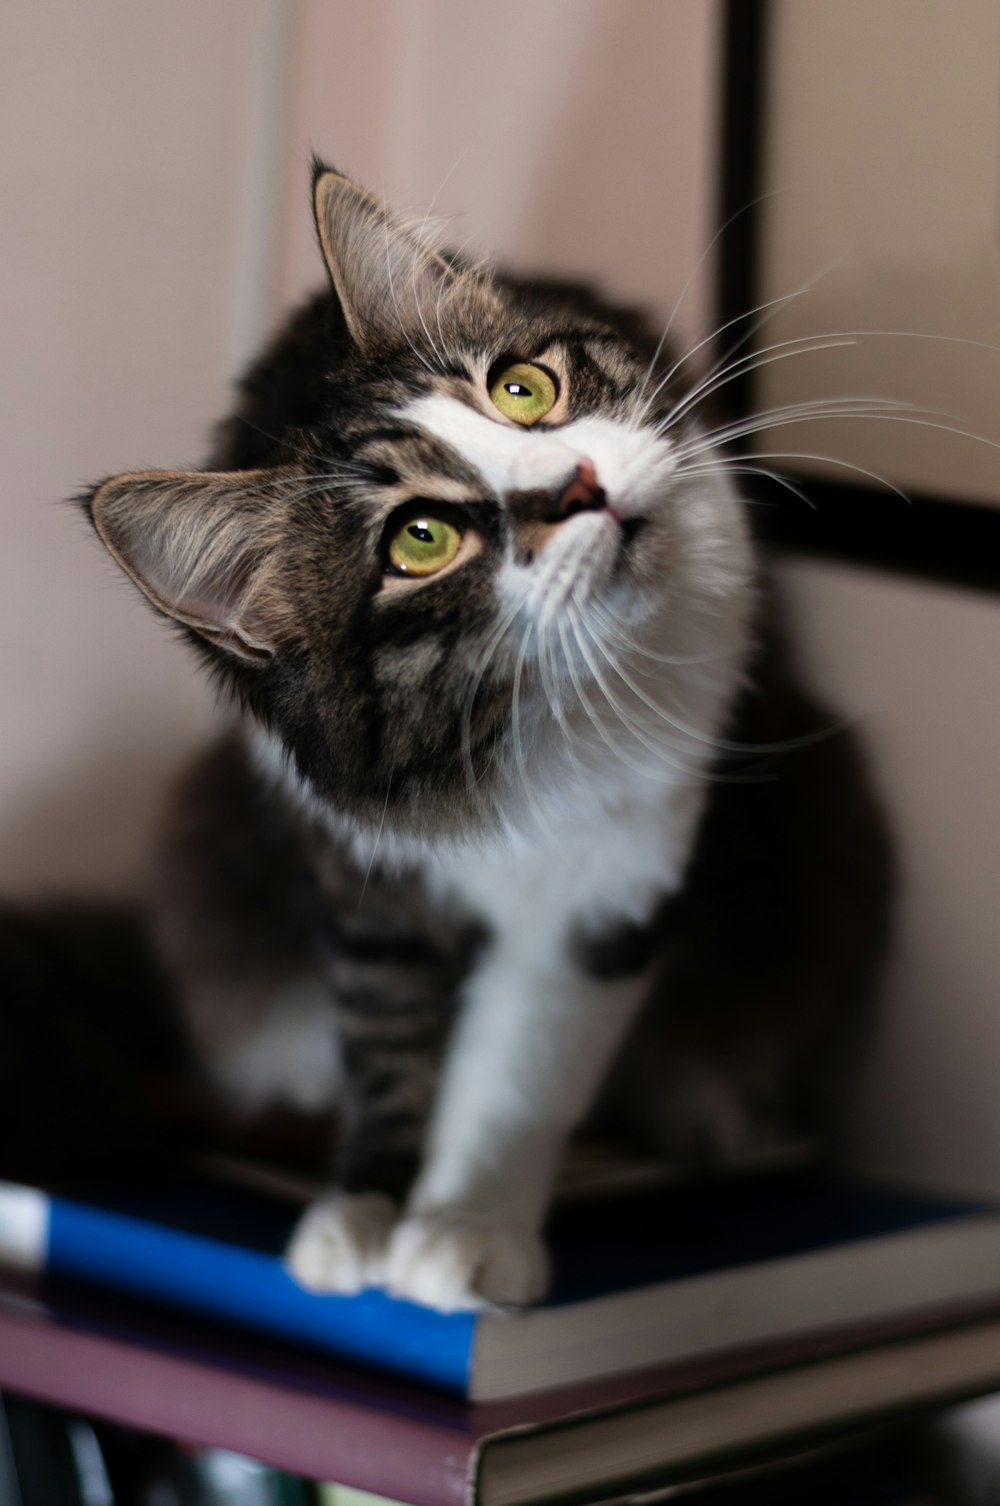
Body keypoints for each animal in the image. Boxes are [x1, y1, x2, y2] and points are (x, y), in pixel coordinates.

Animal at [80, 164, 891, 1313]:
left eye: (522, 391)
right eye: (422, 539)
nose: (582, 485)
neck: (512, 720)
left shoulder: (608, 885)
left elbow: (520, 1076)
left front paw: (464, 1231)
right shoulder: (357, 866)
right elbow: (385, 1047)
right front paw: (364, 1209)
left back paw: (707, 1111)